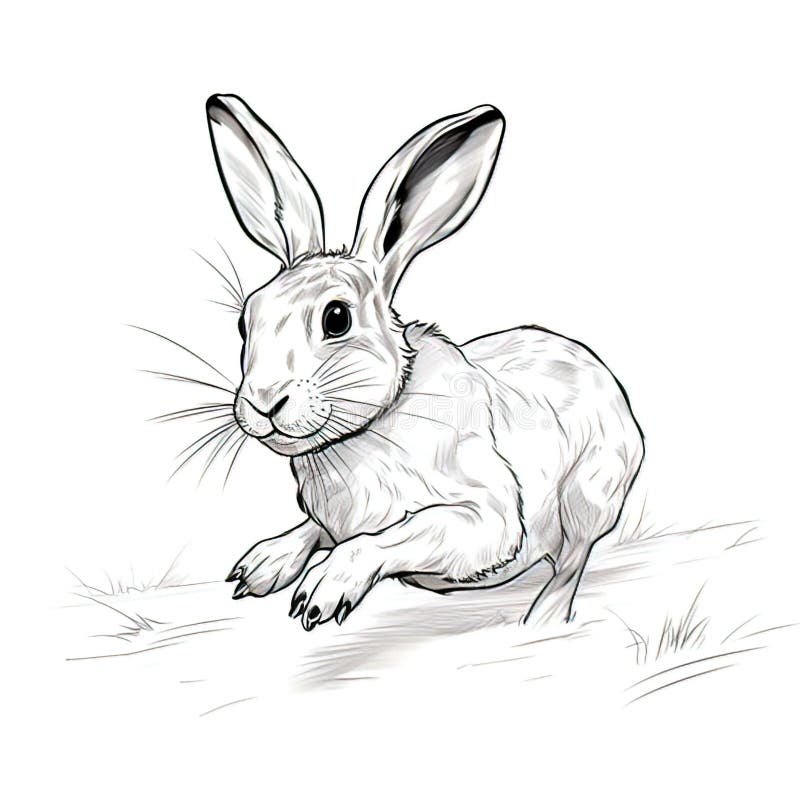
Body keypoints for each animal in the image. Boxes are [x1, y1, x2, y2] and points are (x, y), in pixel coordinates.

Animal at [207, 94, 644, 631]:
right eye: (244, 321)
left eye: (336, 318)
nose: (264, 403)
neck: (366, 432)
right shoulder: (329, 518)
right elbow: (313, 529)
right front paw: (260, 566)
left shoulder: (484, 514)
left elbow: (387, 538)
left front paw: (324, 591)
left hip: (591, 491)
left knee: (573, 557)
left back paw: (543, 617)